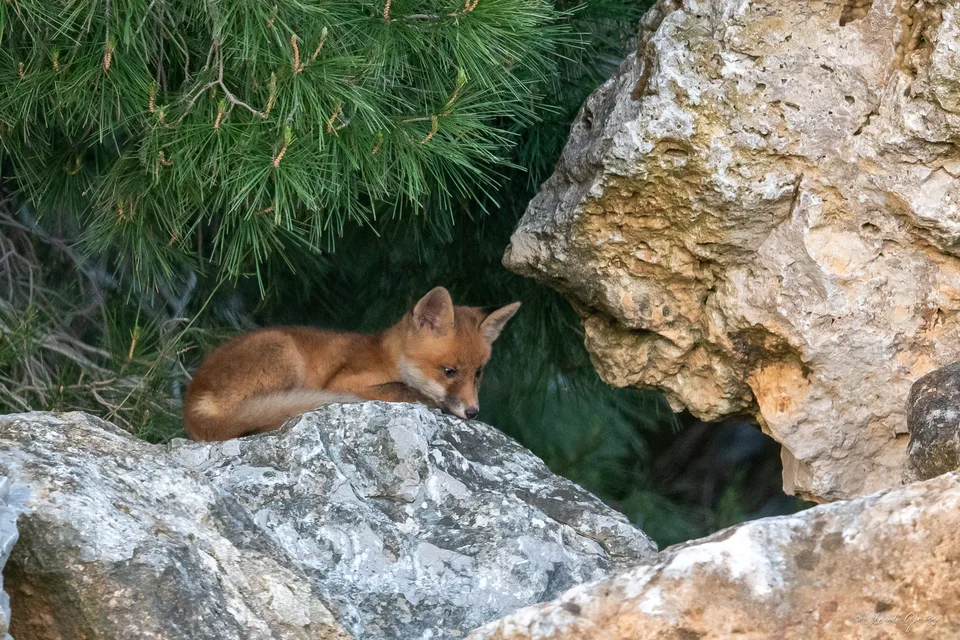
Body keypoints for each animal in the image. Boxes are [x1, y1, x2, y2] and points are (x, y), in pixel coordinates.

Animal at [183, 286, 520, 441]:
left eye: (478, 374)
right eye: (449, 372)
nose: (474, 412)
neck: (387, 357)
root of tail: (191, 403)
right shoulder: (345, 382)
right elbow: (407, 391)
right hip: (285, 352)